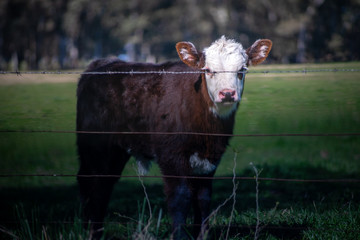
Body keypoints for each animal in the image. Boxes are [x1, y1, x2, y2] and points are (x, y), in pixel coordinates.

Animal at [76, 35, 272, 238]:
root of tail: (101, 64)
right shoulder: (171, 155)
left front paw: (202, 234)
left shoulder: (210, 159)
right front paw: (180, 235)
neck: (207, 130)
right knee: (93, 182)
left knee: (104, 182)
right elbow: (180, 195)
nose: (227, 93)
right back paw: (91, 231)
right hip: (95, 145)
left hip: (116, 149)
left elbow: (203, 197)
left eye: (242, 70)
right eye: (208, 70)